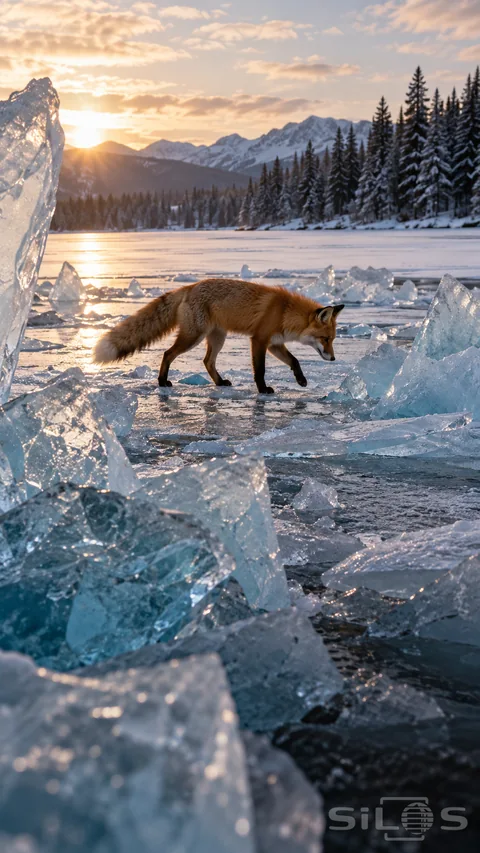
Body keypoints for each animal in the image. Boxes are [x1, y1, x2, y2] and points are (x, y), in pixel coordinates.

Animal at [93, 278, 344, 394]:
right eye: (326, 339)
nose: (333, 359)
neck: (285, 312)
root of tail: (190, 286)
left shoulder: (275, 344)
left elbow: (295, 361)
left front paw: (301, 380)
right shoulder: (259, 340)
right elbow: (260, 370)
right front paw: (263, 390)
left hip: (217, 338)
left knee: (207, 361)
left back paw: (220, 382)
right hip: (193, 336)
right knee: (167, 353)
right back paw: (162, 381)